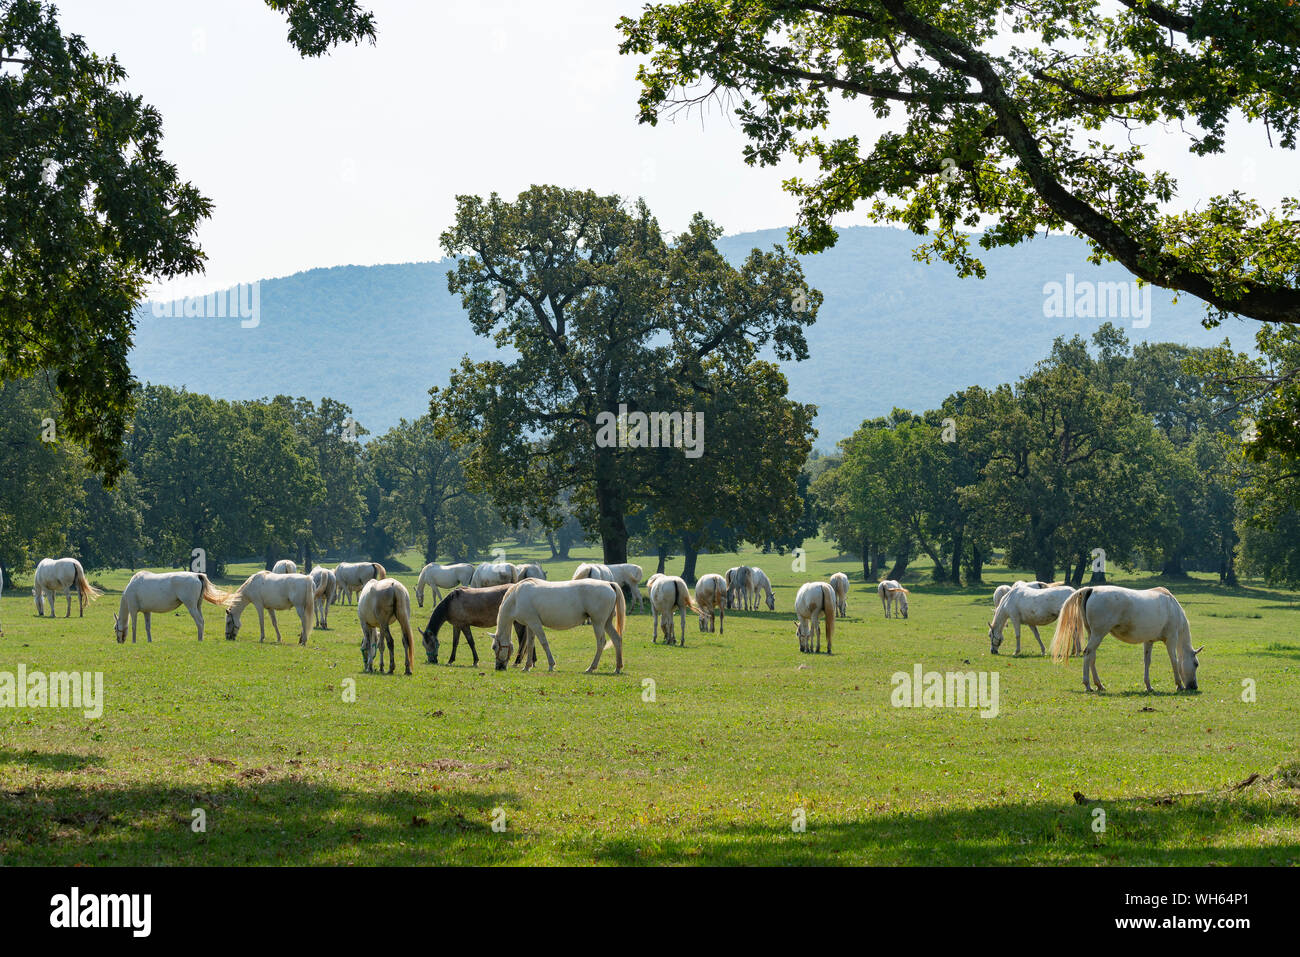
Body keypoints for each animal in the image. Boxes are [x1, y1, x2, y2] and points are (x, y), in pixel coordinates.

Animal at [489, 578, 626, 674]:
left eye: (494, 647)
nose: (498, 667)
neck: (516, 597)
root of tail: (608, 583)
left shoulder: (535, 623)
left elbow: (544, 643)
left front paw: (551, 665)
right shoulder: (530, 625)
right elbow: (530, 644)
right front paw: (527, 666)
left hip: (598, 622)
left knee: (601, 642)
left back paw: (591, 668)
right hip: (607, 623)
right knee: (616, 639)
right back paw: (617, 668)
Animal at [1051, 585, 1201, 693]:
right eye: (1196, 664)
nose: (1194, 686)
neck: (1172, 607)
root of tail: (1092, 589)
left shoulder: (1149, 641)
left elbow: (1147, 661)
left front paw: (1148, 686)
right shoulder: (1171, 639)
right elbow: (1174, 661)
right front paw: (1179, 685)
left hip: (1093, 634)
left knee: (1092, 656)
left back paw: (1099, 685)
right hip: (1098, 634)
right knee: (1088, 654)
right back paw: (1088, 685)